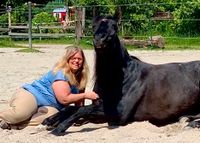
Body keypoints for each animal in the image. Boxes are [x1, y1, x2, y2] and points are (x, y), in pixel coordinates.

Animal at [41, 13, 200, 135]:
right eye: (94, 27)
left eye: (115, 28)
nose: (100, 40)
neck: (119, 79)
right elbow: (74, 108)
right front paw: (50, 120)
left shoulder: (118, 114)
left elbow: (82, 109)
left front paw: (59, 128)